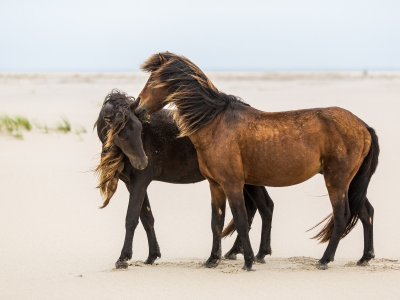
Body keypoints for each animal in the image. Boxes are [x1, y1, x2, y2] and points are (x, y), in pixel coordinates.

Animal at [94, 89, 276, 270]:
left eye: (139, 129)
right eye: (120, 135)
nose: (143, 163)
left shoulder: (140, 181)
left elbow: (131, 219)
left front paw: (123, 258)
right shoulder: (132, 184)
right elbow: (147, 218)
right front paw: (152, 255)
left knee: (263, 207)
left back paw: (257, 253)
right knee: (259, 207)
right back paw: (242, 252)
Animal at [134, 52, 378, 270]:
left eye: (153, 80)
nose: (137, 108)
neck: (215, 123)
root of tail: (363, 126)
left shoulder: (232, 184)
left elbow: (241, 220)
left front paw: (249, 261)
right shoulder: (215, 186)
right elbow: (216, 223)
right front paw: (212, 260)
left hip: (336, 181)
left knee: (342, 216)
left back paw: (325, 260)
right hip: (350, 183)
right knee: (365, 212)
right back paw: (365, 258)